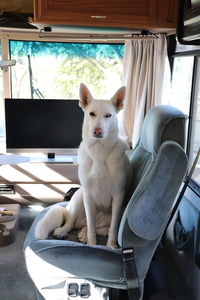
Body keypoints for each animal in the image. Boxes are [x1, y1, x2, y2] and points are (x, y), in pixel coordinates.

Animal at [35, 83, 130, 247]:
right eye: (91, 114)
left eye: (108, 115)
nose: (97, 131)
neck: (99, 152)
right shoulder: (88, 195)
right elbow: (90, 225)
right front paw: (92, 243)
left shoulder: (118, 196)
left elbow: (113, 227)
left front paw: (111, 245)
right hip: (80, 197)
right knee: (73, 223)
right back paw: (64, 231)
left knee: (96, 227)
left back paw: (83, 234)